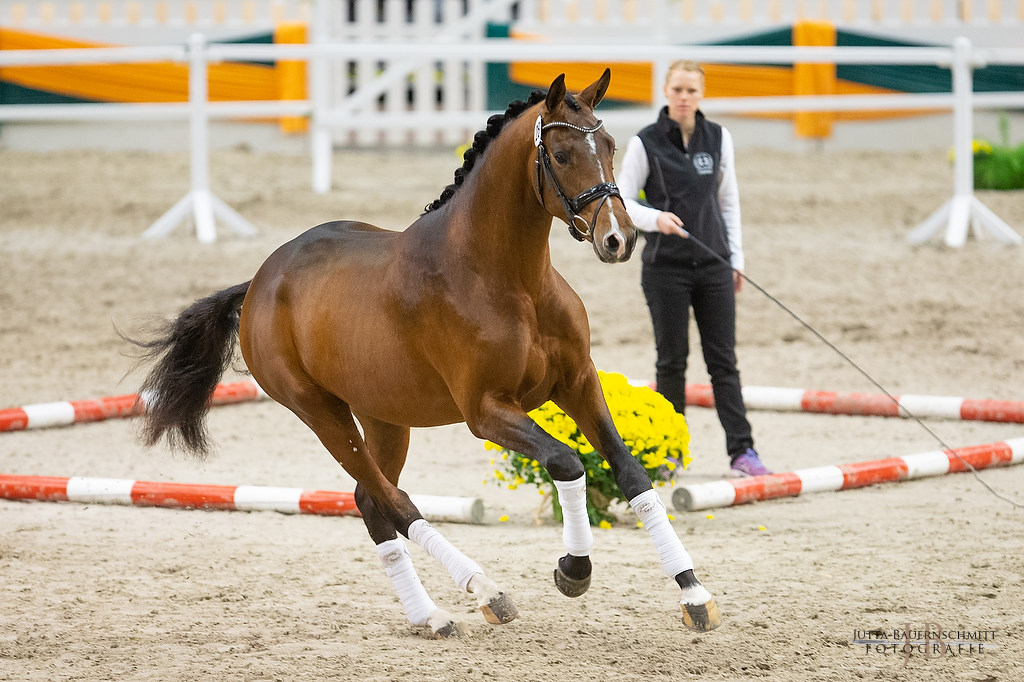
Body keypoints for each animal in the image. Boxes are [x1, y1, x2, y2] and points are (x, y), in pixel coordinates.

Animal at [130, 70, 720, 638]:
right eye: (560, 155)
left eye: (612, 145)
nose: (618, 240)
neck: (512, 279)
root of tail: (258, 282)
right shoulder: (486, 410)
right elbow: (566, 461)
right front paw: (573, 570)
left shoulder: (577, 383)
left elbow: (630, 472)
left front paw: (694, 595)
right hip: (320, 412)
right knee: (391, 499)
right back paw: (484, 592)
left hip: (384, 416)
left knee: (370, 500)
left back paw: (430, 616)